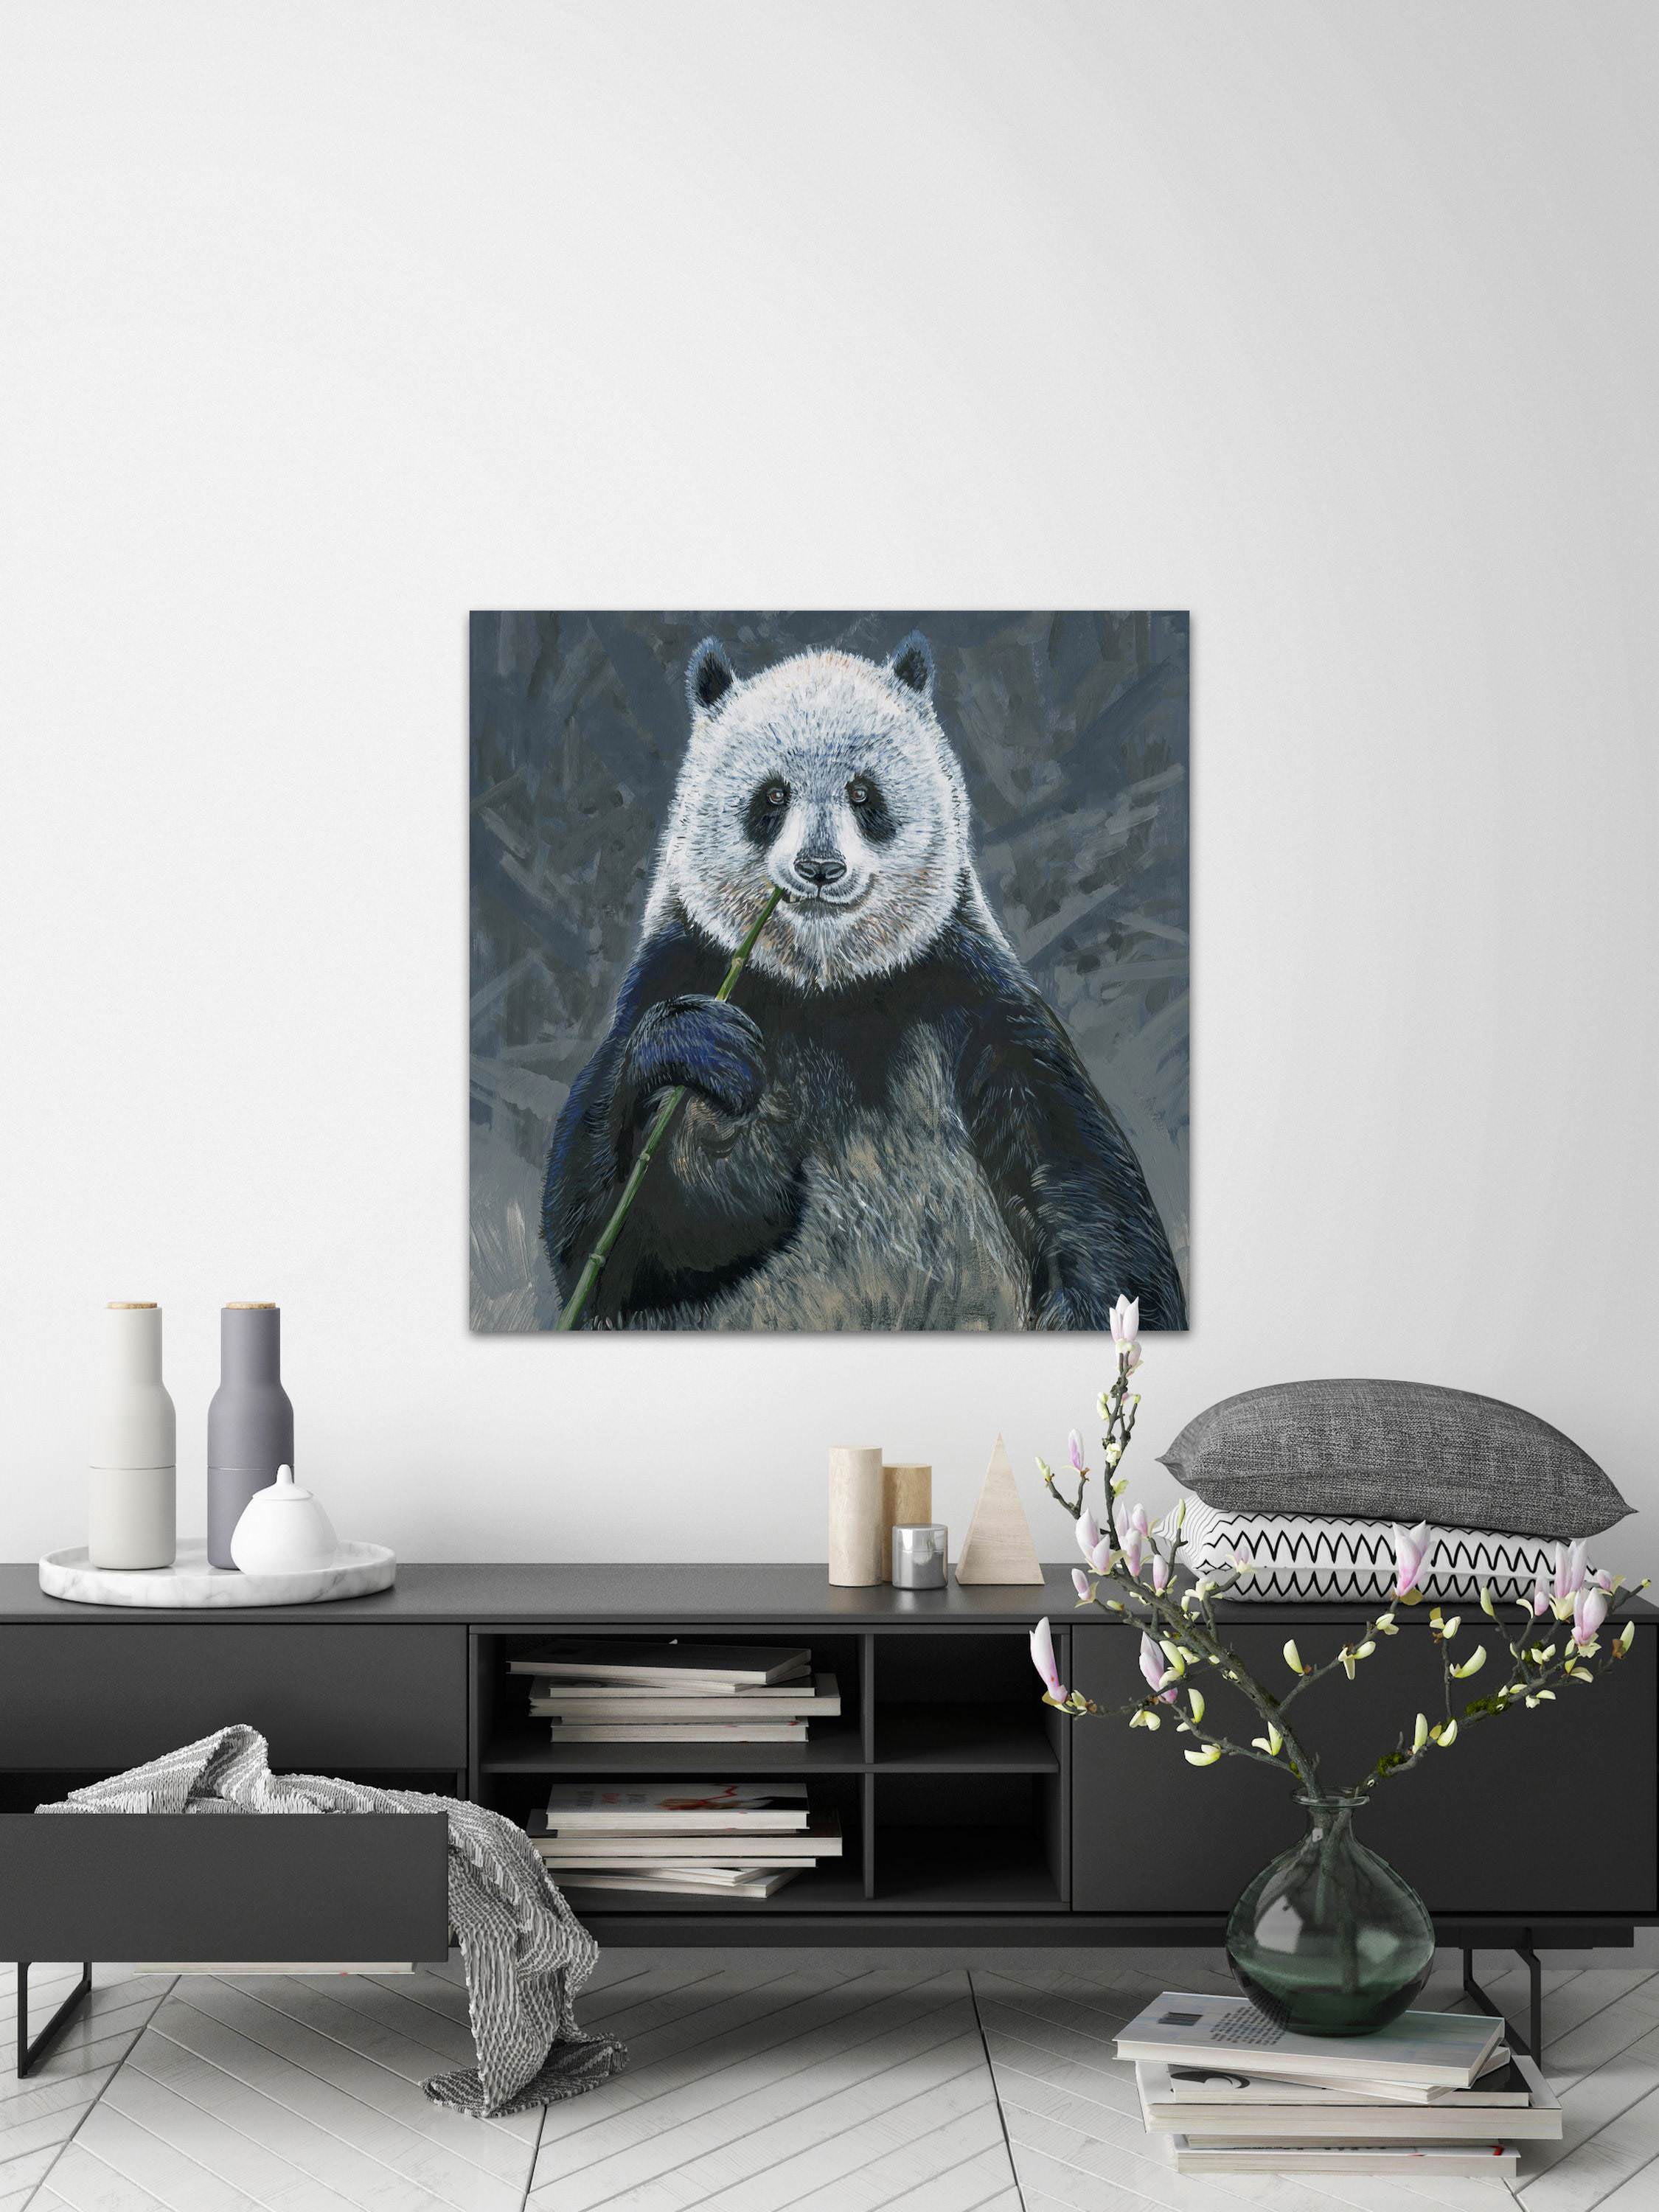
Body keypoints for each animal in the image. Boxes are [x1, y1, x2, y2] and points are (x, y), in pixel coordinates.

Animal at [543, 631, 1188, 1332]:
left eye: (862, 794)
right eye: (772, 797)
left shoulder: (968, 993)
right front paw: (709, 1080)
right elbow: (613, 1246)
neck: (827, 986)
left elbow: (1082, 1188)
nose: (820, 867)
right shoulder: (688, 961)